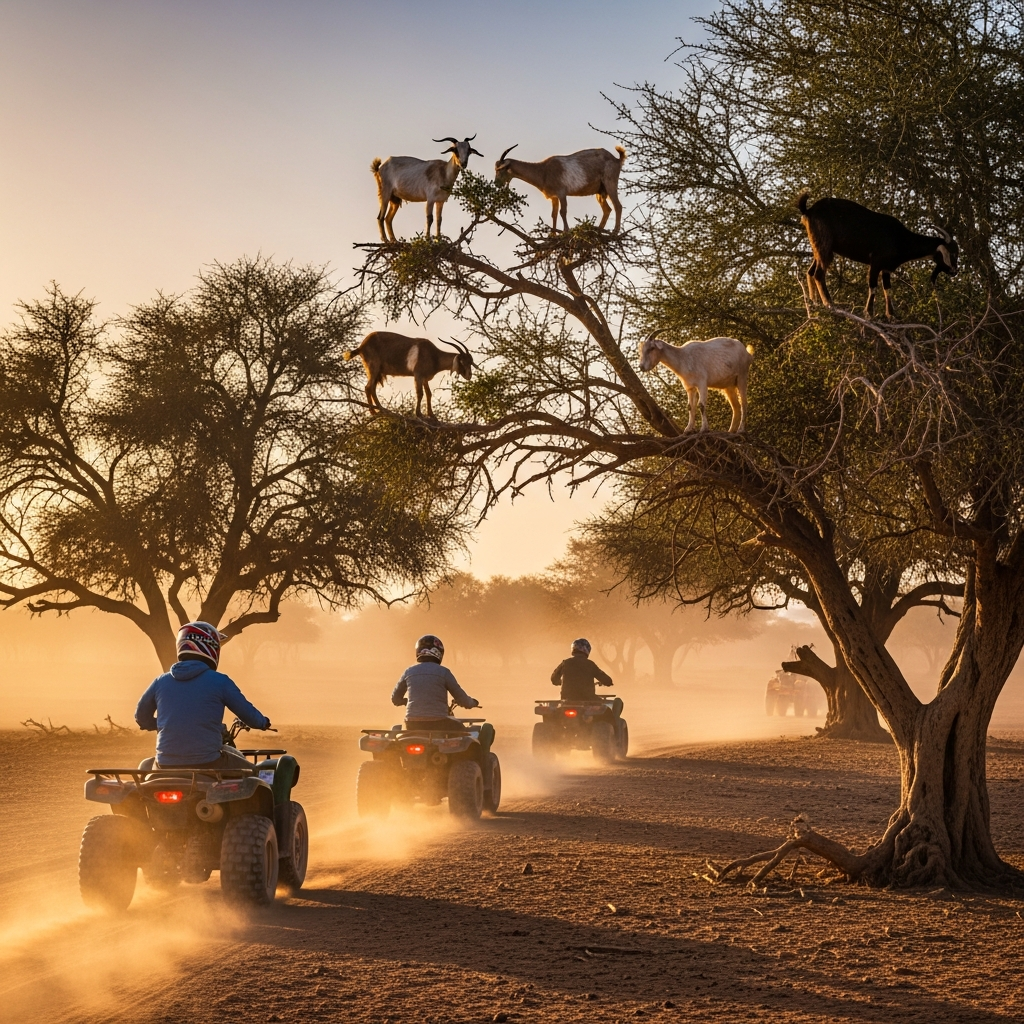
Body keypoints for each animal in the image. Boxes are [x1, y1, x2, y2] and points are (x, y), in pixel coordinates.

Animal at [343, 331, 475, 418]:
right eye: (463, 362)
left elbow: (428, 394)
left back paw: (379, 410)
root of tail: (361, 347)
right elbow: (420, 393)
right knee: (368, 387)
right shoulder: (418, 375)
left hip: (376, 372)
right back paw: (377, 411)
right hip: (373, 368)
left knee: (372, 388)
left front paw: (432, 415)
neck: (434, 356)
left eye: (471, 362)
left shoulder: (424, 378)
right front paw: (419, 414)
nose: (469, 375)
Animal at [493, 144, 627, 234]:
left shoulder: (562, 192)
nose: (496, 183)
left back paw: (615, 231)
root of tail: (616, 159)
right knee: (607, 209)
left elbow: (563, 212)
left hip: (610, 182)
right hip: (600, 191)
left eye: (500, 169)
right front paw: (552, 235)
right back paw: (598, 231)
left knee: (618, 206)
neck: (543, 171)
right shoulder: (554, 196)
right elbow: (554, 214)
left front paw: (566, 231)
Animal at [798, 193, 958, 318]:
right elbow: (873, 286)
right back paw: (829, 304)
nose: (954, 272)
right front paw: (869, 313)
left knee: (810, 271)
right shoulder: (876, 262)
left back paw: (814, 303)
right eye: (953, 253)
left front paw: (892, 315)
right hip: (825, 245)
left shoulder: (887, 267)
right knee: (818, 273)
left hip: (818, 246)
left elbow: (887, 288)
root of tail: (808, 211)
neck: (902, 239)